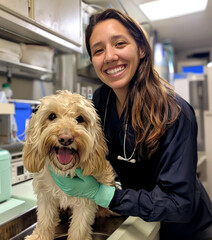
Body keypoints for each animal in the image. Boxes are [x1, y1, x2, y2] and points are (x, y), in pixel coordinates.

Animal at [23, 90, 115, 240]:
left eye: (80, 118)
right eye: (52, 116)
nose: (65, 138)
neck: (64, 172)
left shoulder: (86, 201)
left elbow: (79, 229)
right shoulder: (45, 195)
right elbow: (45, 220)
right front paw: (40, 236)